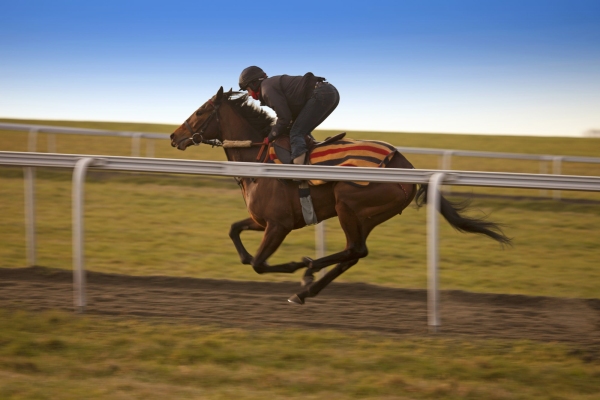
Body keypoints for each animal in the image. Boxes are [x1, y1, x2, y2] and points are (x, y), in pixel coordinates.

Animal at [170, 87, 510, 304]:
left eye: (201, 111)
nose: (174, 136)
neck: (259, 159)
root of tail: (408, 167)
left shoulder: (279, 224)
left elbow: (258, 263)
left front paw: (295, 264)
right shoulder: (263, 220)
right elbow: (235, 234)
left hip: (348, 204)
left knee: (353, 250)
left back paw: (309, 271)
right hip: (368, 216)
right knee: (355, 252)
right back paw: (305, 290)